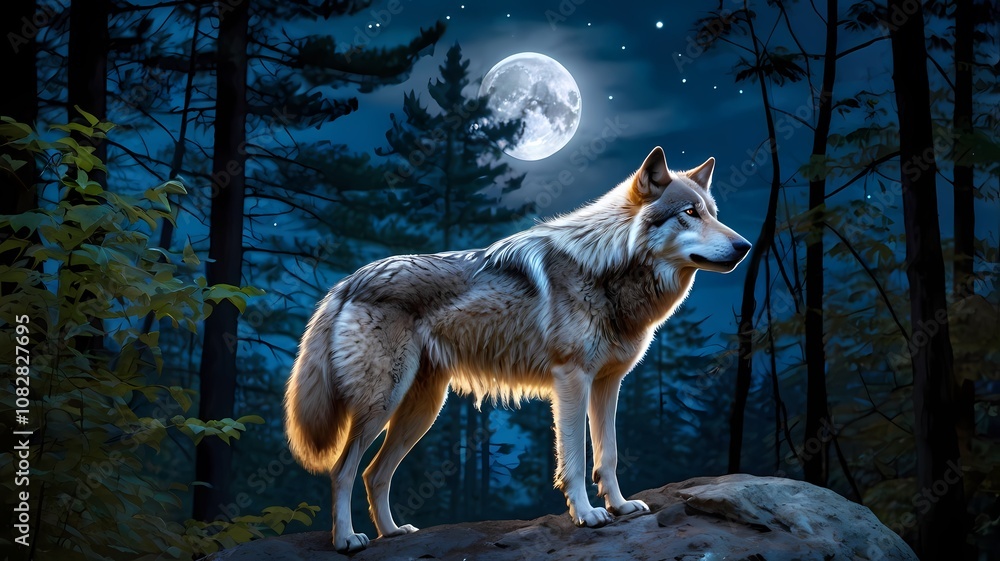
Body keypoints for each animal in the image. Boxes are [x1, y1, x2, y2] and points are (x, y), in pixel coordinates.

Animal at [284, 146, 751, 551]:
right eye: (689, 213)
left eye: (713, 213)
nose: (744, 246)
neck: (607, 268)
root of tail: (347, 282)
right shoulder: (571, 379)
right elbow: (576, 459)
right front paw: (587, 515)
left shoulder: (608, 383)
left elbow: (609, 455)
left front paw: (620, 507)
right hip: (382, 403)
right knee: (343, 470)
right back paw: (347, 539)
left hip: (422, 410)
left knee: (373, 473)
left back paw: (393, 533)